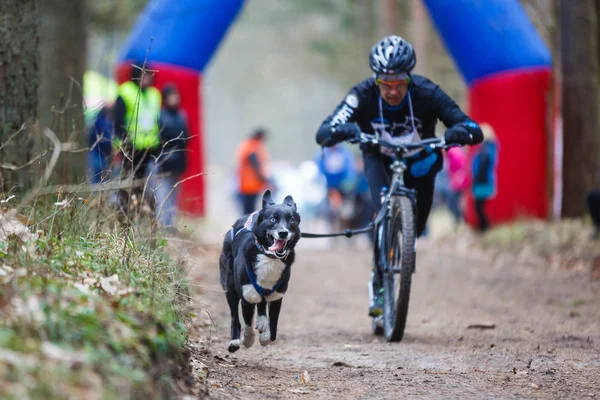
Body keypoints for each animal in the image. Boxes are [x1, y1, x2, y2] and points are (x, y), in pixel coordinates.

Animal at [218, 189, 300, 352]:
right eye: (272, 219)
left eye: (292, 220)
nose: (283, 233)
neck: (269, 256)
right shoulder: (247, 296)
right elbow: (247, 324)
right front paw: (247, 340)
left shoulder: (276, 298)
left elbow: (273, 331)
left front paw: (265, 337)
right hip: (229, 285)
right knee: (234, 315)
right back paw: (235, 340)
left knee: (262, 302)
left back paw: (262, 321)